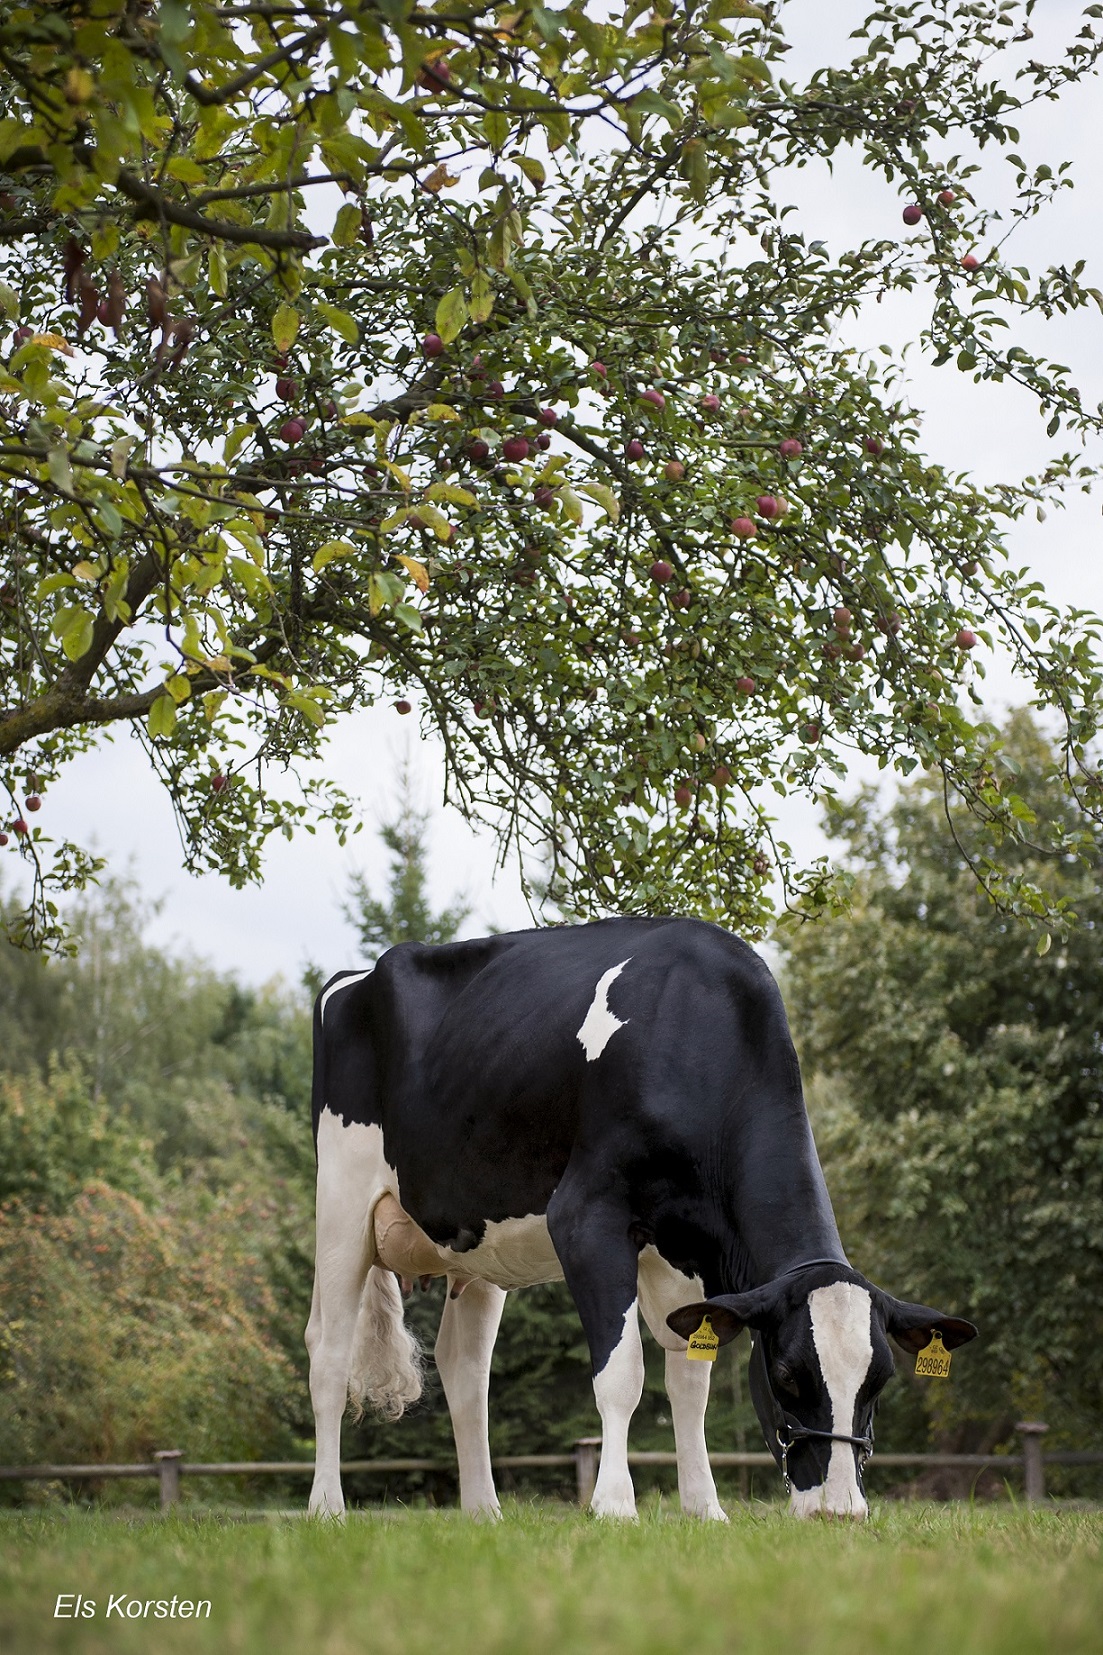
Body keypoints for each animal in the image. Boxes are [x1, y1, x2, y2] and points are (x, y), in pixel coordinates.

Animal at [306, 916, 976, 1521]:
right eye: (787, 1374)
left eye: (880, 1380)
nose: (841, 1510)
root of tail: (356, 974)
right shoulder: (586, 1219)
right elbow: (622, 1373)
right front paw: (614, 1506)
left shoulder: (687, 1255)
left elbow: (690, 1383)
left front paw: (705, 1509)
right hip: (341, 1200)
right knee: (329, 1349)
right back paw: (327, 1507)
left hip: (476, 1248)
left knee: (465, 1370)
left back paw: (484, 1513)